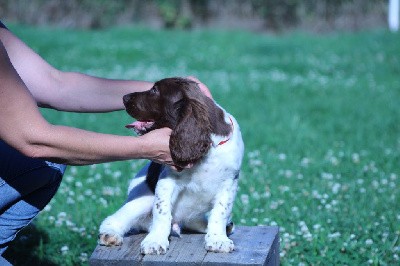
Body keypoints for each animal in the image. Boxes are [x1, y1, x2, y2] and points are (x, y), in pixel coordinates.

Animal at [98, 77, 245, 254]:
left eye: (155, 90)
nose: (124, 97)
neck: (208, 149)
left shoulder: (229, 183)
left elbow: (220, 212)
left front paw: (218, 239)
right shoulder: (167, 181)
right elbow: (162, 211)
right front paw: (155, 241)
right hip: (143, 199)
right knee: (117, 218)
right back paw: (110, 234)